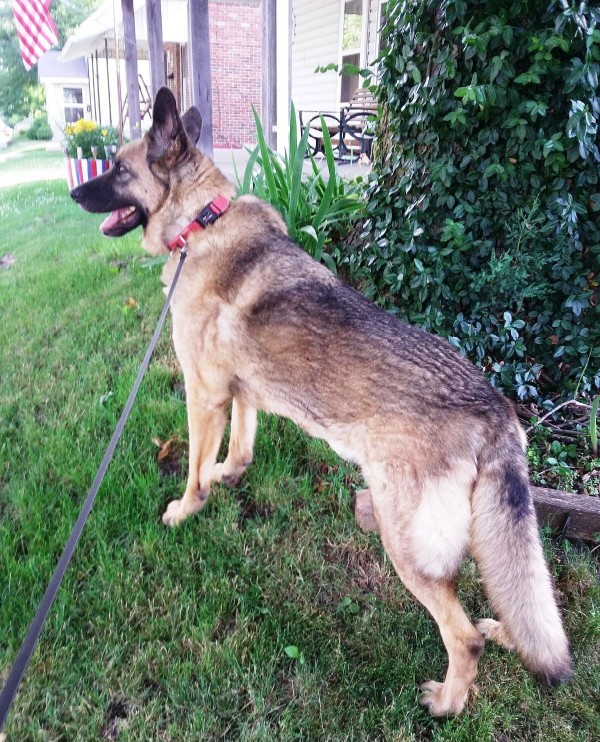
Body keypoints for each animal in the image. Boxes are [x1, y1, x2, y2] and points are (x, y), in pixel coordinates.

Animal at [71, 90, 572, 716]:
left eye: (118, 168)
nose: (73, 193)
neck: (203, 218)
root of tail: (496, 408)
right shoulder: (242, 393)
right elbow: (239, 447)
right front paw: (229, 476)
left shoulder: (203, 397)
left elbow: (193, 469)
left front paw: (187, 509)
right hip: (477, 533)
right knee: (511, 595)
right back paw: (507, 634)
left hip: (404, 544)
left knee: (463, 636)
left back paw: (448, 701)